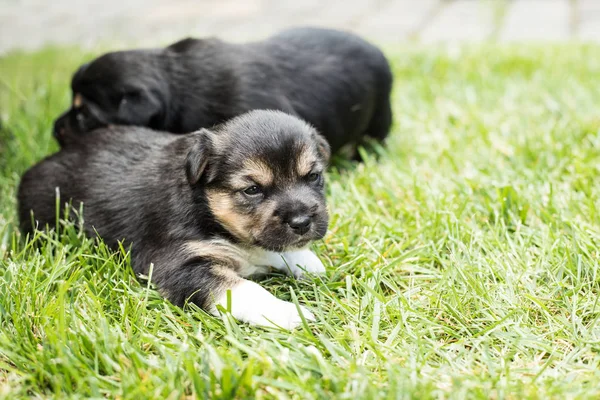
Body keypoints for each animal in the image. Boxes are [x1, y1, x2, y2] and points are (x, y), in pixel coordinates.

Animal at [18, 109, 330, 328]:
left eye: (313, 176)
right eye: (252, 190)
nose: (302, 222)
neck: (206, 207)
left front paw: (309, 262)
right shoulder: (180, 265)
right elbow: (242, 289)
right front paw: (286, 312)